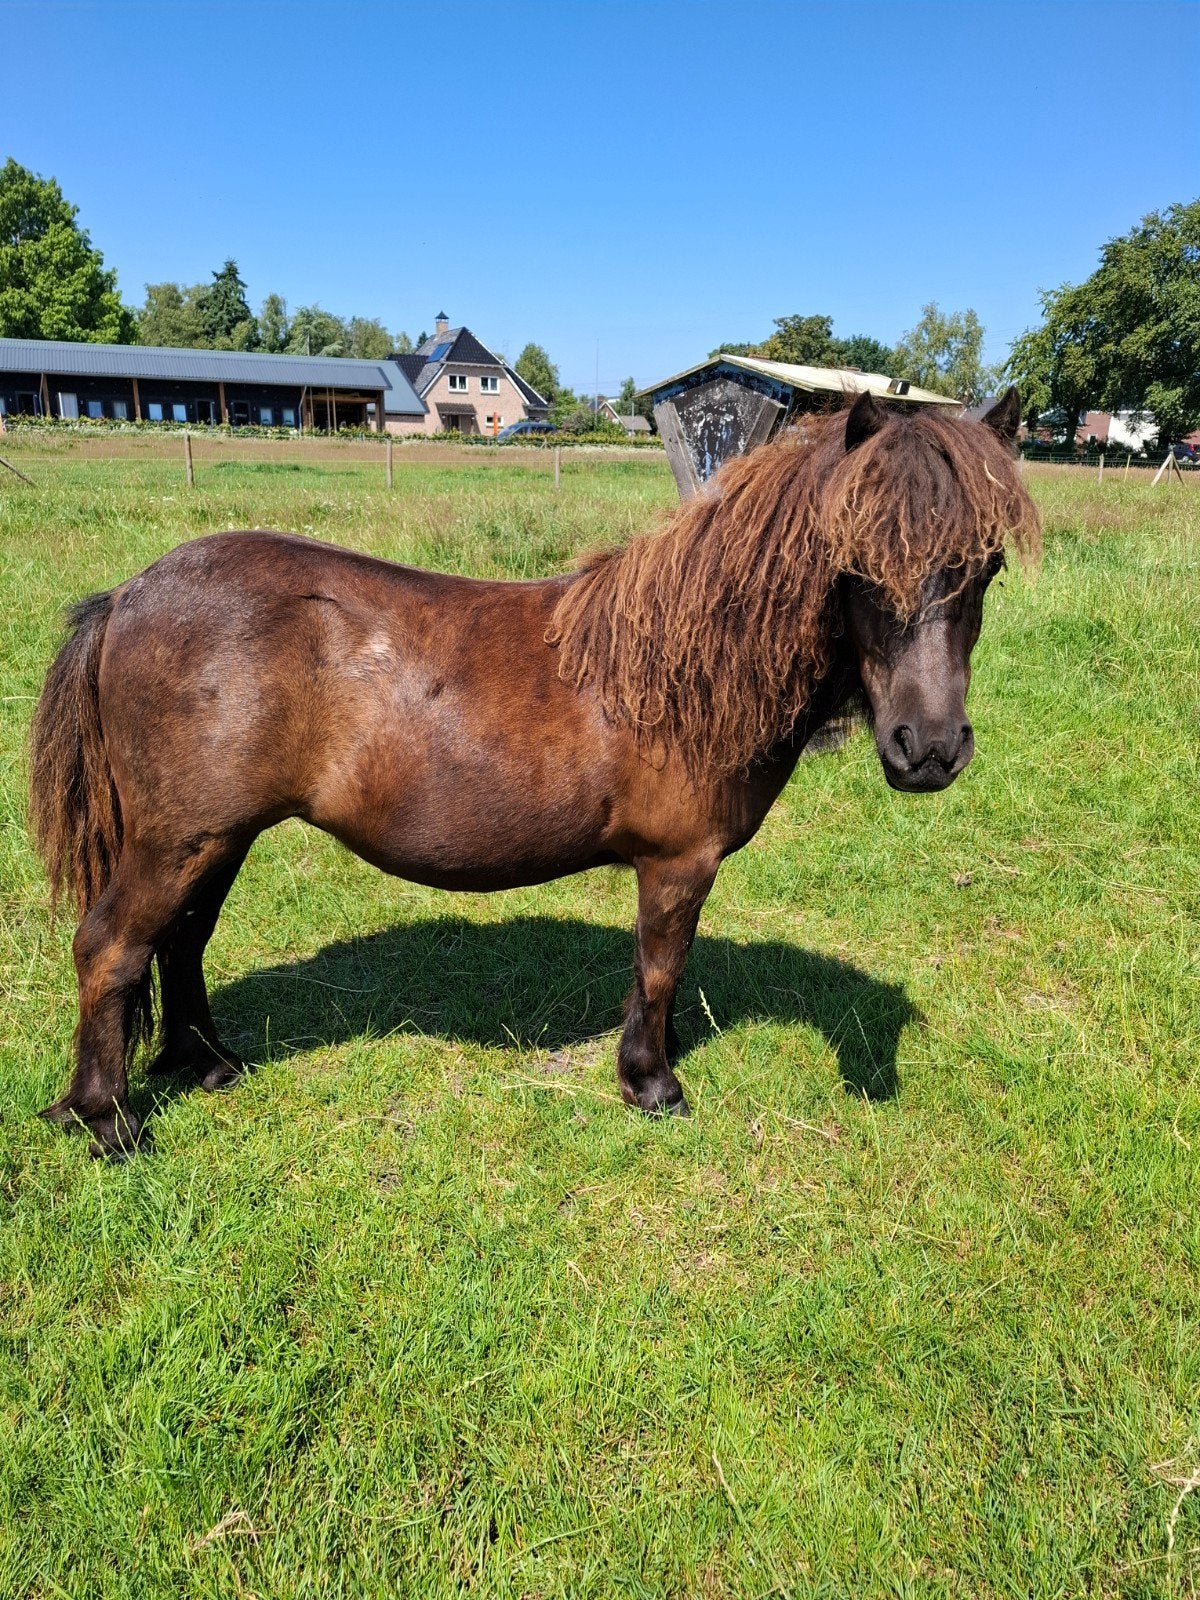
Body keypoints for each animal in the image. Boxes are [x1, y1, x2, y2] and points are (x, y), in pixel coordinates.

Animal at [29, 389, 1039, 1157]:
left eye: (987, 564)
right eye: (860, 564)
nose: (929, 748)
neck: (688, 665)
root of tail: (130, 594)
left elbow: (652, 971)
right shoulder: (678, 864)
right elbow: (661, 965)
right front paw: (652, 1083)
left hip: (216, 839)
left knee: (180, 945)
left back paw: (204, 1063)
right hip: (180, 841)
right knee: (111, 948)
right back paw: (107, 1120)